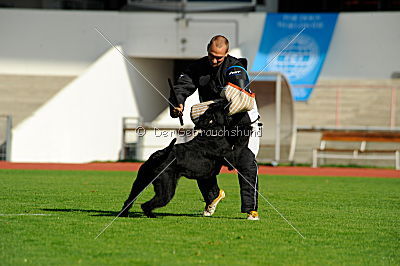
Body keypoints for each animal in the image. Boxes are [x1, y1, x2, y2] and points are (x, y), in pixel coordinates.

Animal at [120, 102, 248, 218]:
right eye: (219, 107)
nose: (227, 102)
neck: (213, 130)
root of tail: (159, 155)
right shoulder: (230, 159)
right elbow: (238, 150)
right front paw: (247, 127)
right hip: (166, 188)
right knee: (148, 204)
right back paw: (152, 215)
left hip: (140, 182)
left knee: (129, 200)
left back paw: (124, 214)